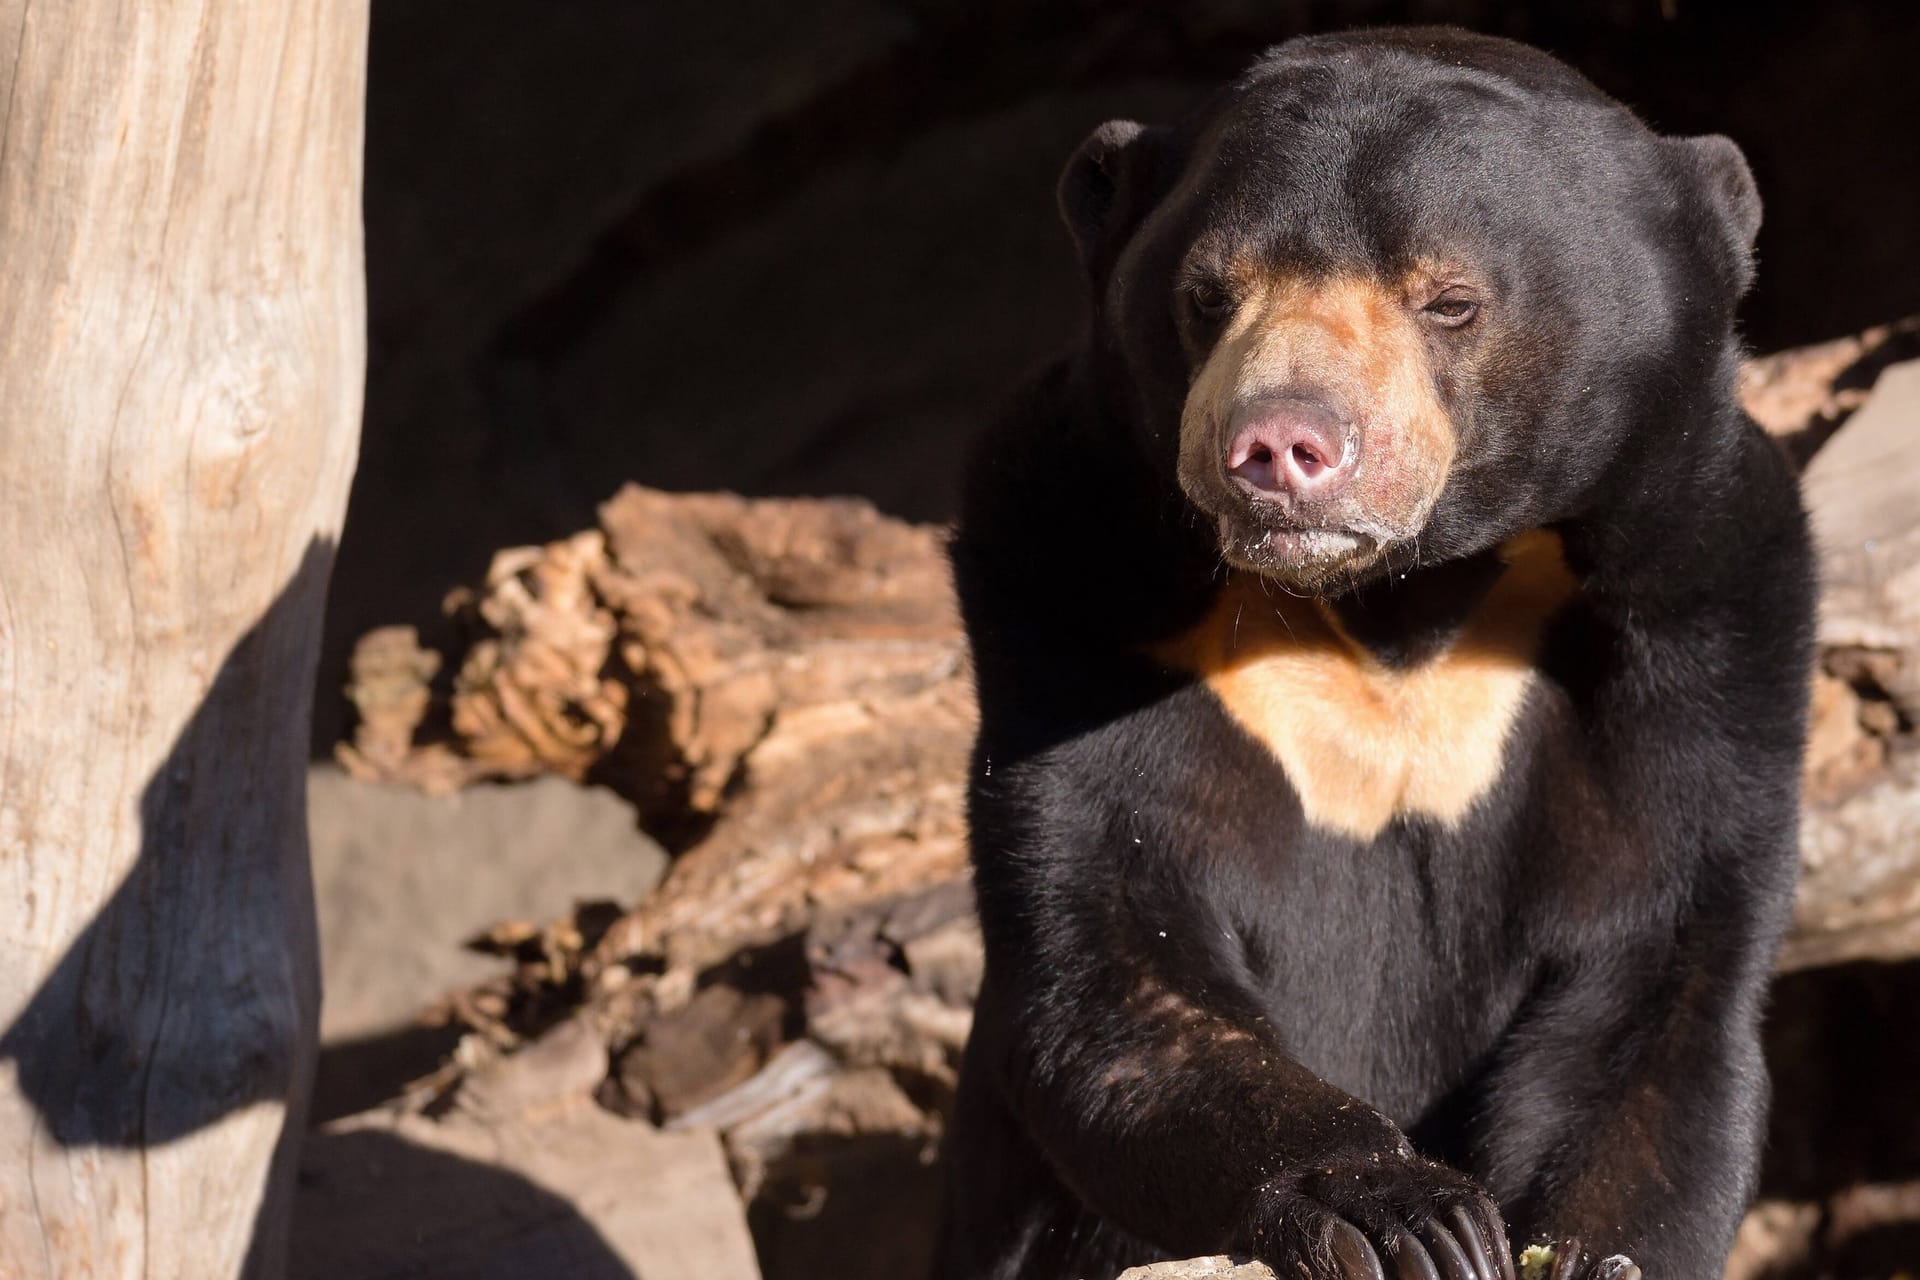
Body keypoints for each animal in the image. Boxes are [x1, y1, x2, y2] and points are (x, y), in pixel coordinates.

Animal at [944, 25, 1812, 1280]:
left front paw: (1578, 1251)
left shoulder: (1706, 618)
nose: (1280, 444)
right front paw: (1403, 1214)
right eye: (1208, 295)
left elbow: (1652, 983)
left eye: (1449, 299)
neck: (1404, 606)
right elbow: (1113, 956)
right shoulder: (1072, 588)